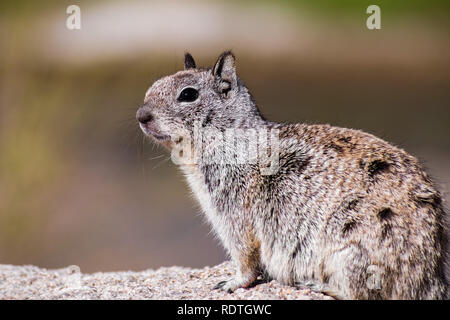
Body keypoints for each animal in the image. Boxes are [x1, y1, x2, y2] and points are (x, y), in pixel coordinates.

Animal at [136, 51, 446, 298]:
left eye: (188, 94)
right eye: (153, 85)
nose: (141, 115)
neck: (230, 138)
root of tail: (430, 274)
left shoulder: (233, 210)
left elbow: (245, 254)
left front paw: (231, 282)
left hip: (351, 253)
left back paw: (317, 284)